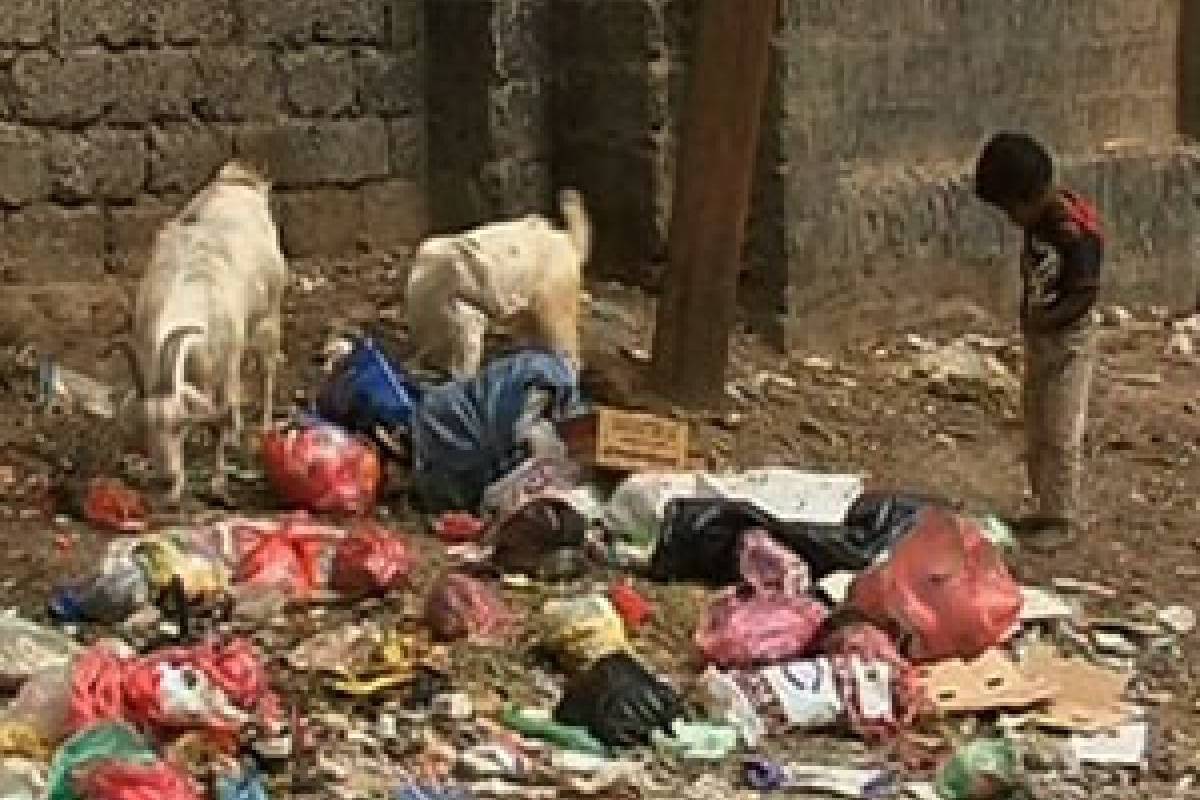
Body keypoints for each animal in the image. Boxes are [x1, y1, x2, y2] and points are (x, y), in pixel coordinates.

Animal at [112, 163, 290, 501]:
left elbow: (220, 415)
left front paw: (218, 482)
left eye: (179, 424)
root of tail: (239, 180)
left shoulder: (225, 365)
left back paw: (262, 428)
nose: (166, 480)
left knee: (267, 371)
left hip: (270, 315)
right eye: (145, 427)